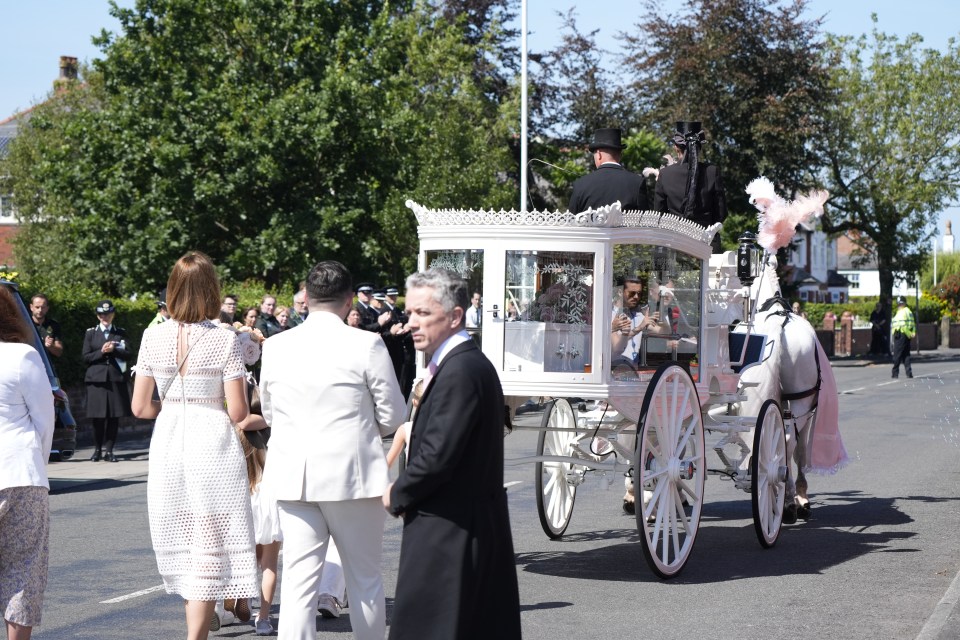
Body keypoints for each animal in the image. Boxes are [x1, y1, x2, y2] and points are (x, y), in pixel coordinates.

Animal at [736, 254, 848, 520]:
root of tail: (779, 324)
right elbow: (800, 452)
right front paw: (801, 497)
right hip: (802, 404)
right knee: (788, 444)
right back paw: (787, 502)